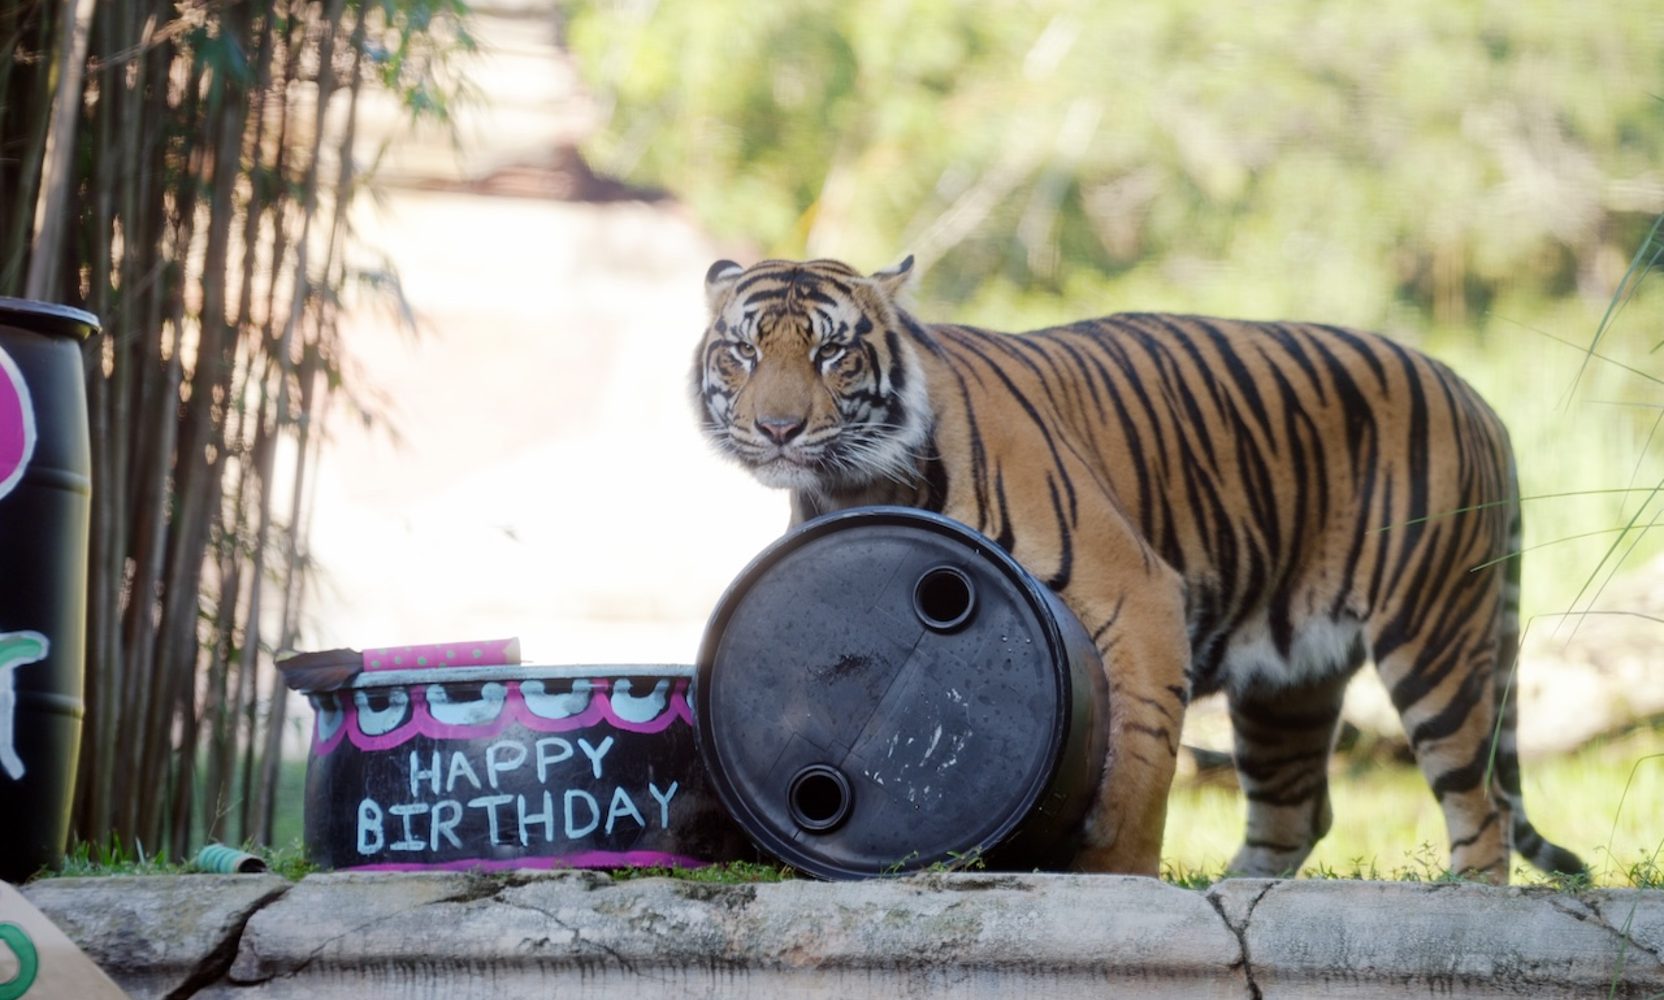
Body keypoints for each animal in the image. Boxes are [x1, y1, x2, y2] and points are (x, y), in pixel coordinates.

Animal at [691, 254, 1585, 883]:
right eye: (742, 353)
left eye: (832, 354)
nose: (777, 428)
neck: (860, 480)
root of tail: (1474, 394)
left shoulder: (1140, 596)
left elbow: (1141, 762)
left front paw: (1118, 873)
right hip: (1289, 684)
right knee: (1297, 812)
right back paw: (1233, 891)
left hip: (1436, 638)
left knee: (1482, 803)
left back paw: (1466, 896)